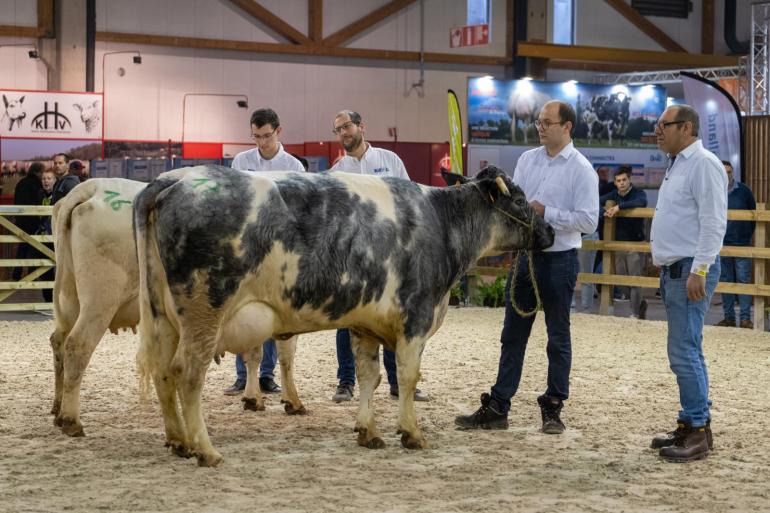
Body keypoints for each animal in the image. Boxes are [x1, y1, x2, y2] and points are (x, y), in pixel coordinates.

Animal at [134, 163, 552, 464]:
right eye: (519, 200)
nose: (548, 231)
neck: (441, 222)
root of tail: (174, 178)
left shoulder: (366, 322)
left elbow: (371, 376)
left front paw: (369, 431)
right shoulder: (416, 315)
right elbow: (408, 377)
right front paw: (412, 433)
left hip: (162, 317)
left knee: (163, 372)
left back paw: (179, 441)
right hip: (205, 310)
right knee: (188, 374)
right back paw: (205, 450)